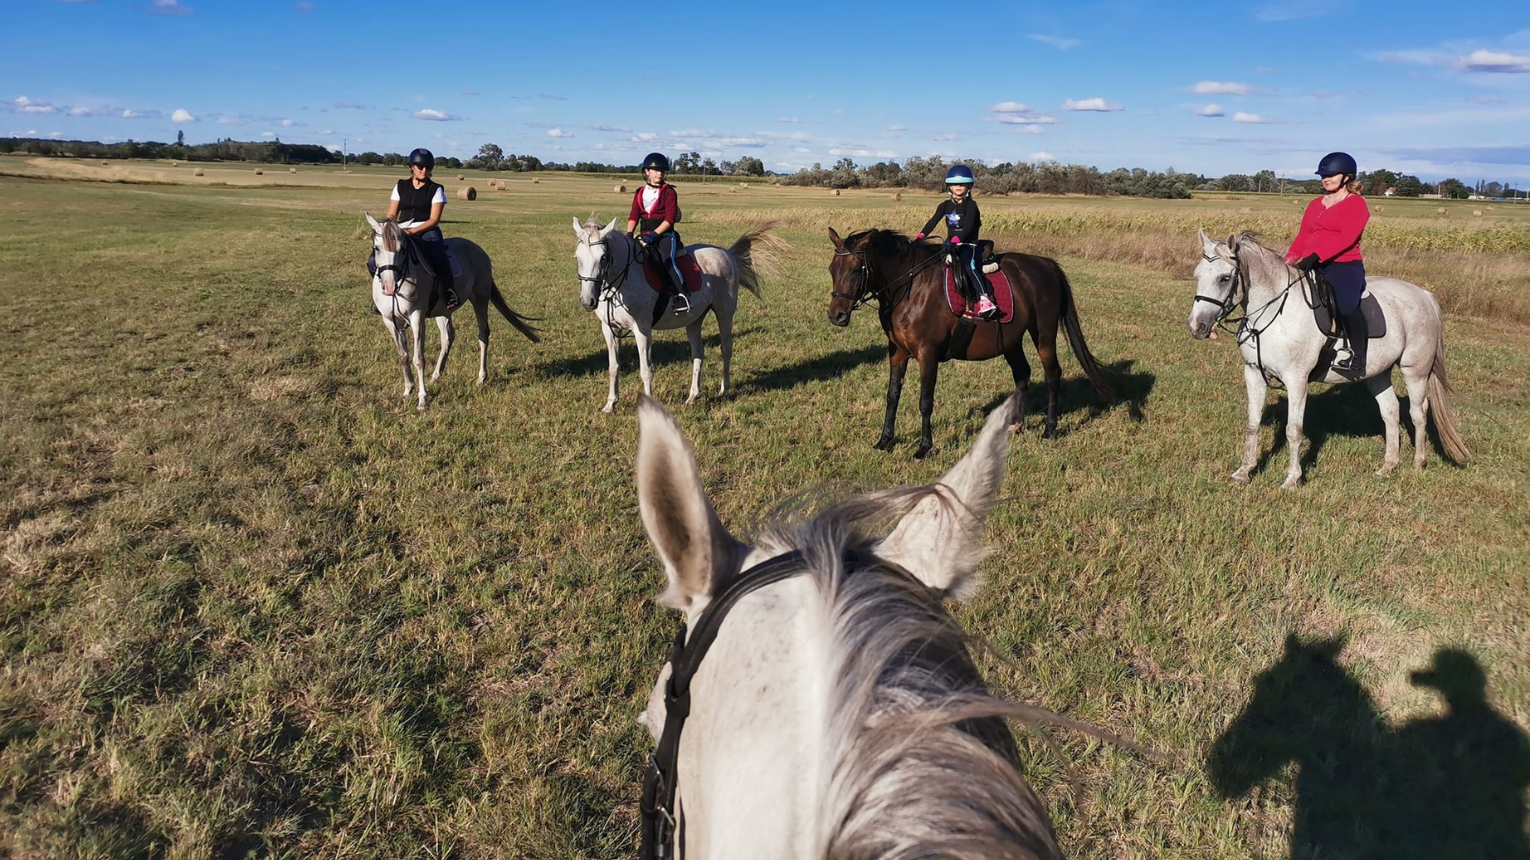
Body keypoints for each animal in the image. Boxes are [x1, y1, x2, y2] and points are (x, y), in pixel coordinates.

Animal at [575, 217, 789, 413]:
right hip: (694, 320)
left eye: (603, 257)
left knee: (726, 349)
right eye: (577, 257)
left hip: (725, 314)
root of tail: (726, 253)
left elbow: (646, 370)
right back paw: (693, 396)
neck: (622, 280)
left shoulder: (642, 330)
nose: (587, 301)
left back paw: (724, 389)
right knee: (698, 353)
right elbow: (613, 367)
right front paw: (610, 404)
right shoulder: (609, 330)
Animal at [832, 226, 1119, 456]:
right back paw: (1016, 424)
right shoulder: (897, 351)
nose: (836, 315)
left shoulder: (928, 354)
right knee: (1022, 374)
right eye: (832, 269)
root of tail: (1045, 264)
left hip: (1044, 334)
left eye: (856, 270)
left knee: (1052, 374)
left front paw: (924, 447)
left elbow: (925, 401)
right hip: (1012, 341)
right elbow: (892, 396)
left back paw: (1049, 428)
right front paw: (885, 440)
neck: (910, 288)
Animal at [1181, 229, 1468, 489]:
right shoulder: (1253, 373)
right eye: (1197, 275)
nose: (1197, 327)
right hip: (1378, 373)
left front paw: (1292, 479)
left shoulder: (1297, 380)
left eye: (1224, 278)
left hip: (1415, 371)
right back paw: (1388, 466)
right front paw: (1244, 472)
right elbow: (1252, 423)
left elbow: (1293, 430)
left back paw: (1418, 463)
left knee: (1418, 414)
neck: (1273, 314)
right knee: (1390, 412)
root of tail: (1424, 294)